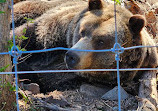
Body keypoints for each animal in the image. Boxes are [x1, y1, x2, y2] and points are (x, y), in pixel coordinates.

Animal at [11, 0, 158, 108]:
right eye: (82, 31)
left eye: (101, 41)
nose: (71, 56)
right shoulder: (54, 31)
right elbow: (22, 38)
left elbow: (48, 78)